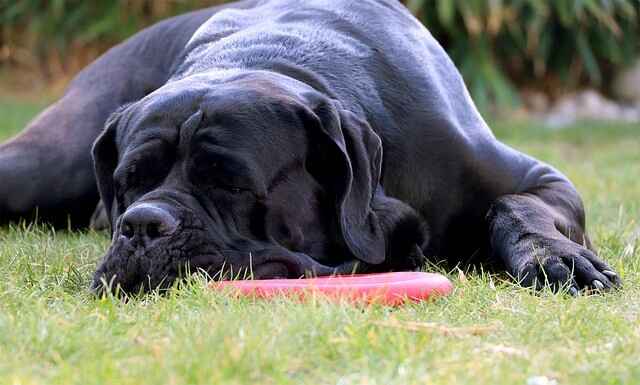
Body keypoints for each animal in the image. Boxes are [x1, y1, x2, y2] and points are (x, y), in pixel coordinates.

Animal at [0, 0, 620, 294]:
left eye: (230, 182)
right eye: (130, 182)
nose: (141, 225)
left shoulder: (539, 178)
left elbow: (515, 205)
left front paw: (557, 258)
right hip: (41, 164)